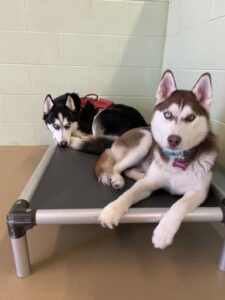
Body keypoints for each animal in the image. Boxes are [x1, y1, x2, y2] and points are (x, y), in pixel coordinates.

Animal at [95, 69, 218, 248]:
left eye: (191, 118)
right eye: (168, 114)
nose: (173, 139)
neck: (176, 159)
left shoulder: (199, 192)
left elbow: (180, 205)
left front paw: (163, 232)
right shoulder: (147, 184)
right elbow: (129, 193)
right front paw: (113, 209)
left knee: (129, 170)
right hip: (145, 139)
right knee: (116, 167)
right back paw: (118, 179)